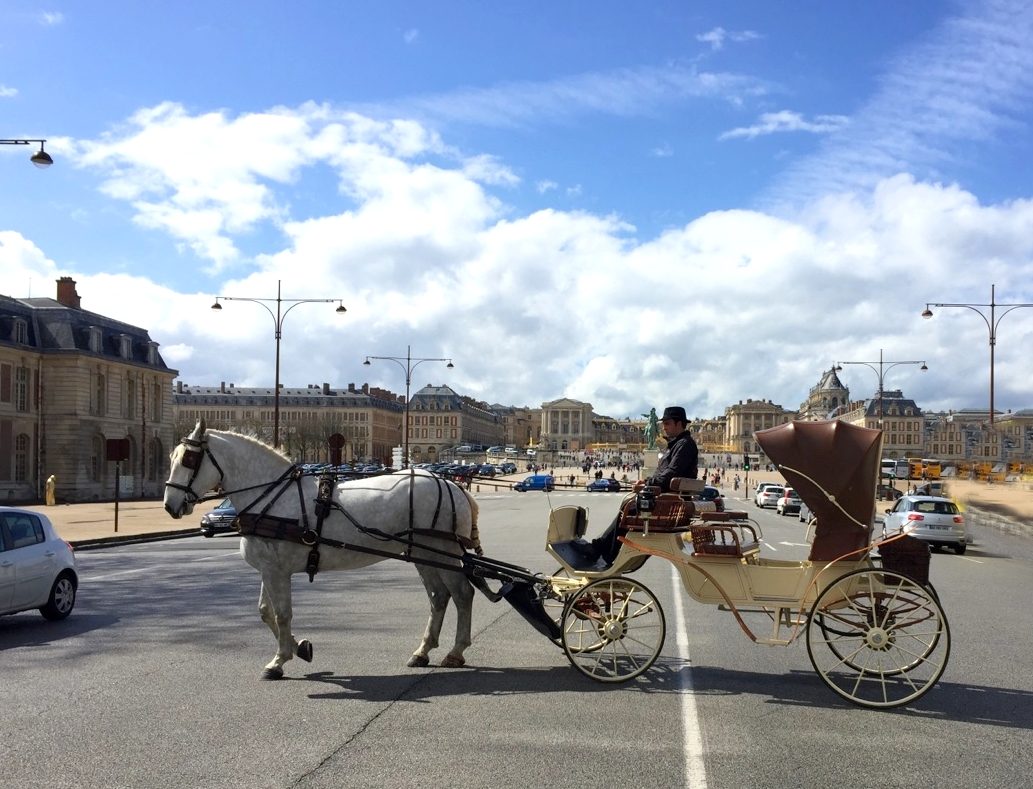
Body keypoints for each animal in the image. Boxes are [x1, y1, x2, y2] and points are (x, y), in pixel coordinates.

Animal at [163, 419, 485, 677]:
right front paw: (300, 648)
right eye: (172, 457)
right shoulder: (270, 568)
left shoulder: (276, 571)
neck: (273, 497)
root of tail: (453, 485)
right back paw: (423, 651)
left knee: (462, 594)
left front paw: (279, 660)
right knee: (438, 597)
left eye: (189, 459)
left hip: (441, 551)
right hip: (424, 554)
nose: (169, 505)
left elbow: (282, 613)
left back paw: (456, 651)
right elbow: (266, 612)